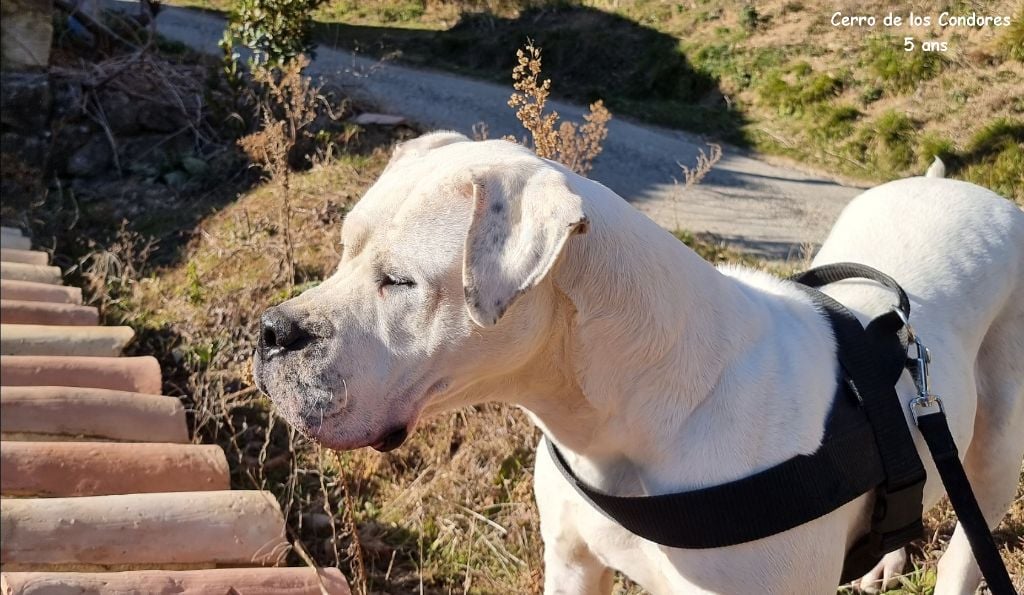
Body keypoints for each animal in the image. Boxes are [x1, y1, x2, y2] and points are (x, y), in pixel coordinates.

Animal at [256, 132, 1024, 589]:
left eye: (400, 282)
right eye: (345, 249)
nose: (270, 331)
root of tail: (959, 186)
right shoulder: (571, 559)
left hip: (995, 451)